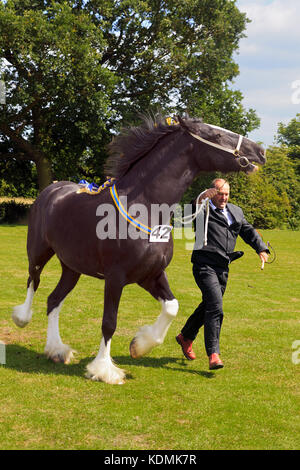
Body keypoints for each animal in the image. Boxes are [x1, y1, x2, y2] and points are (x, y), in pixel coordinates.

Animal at [11, 115, 266, 384]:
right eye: (215, 135)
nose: (260, 151)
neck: (145, 207)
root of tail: (51, 190)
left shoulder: (150, 274)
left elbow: (172, 307)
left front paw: (139, 345)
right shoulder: (115, 277)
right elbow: (109, 322)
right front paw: (104, 369)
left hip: (72, 267)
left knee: (53, 299)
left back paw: (57, 350)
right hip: (39, 252)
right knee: (33, 280)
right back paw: (22, 318)